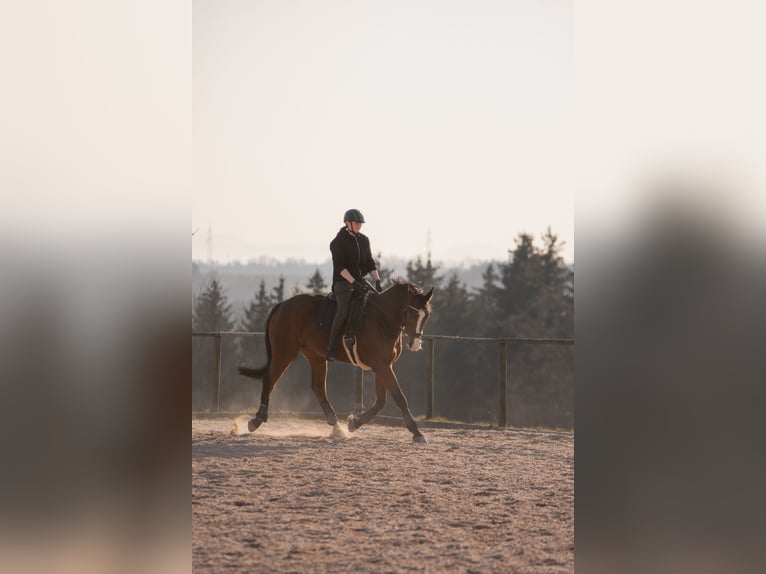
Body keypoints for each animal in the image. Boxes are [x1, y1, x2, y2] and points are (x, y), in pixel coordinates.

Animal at [237, 282, 436, 444]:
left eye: (426, 315)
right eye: (411, 313)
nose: (415, 344)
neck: (382, 319)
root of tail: (283, 305)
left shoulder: (384, 365)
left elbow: (381, 401)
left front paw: (354, 423)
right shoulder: (381, 366)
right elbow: (399, 398)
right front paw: (417, 433)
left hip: (315, 356)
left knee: (318, 387)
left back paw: (337, 426)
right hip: (284, 353)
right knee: (270, 380)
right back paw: (256, 420)